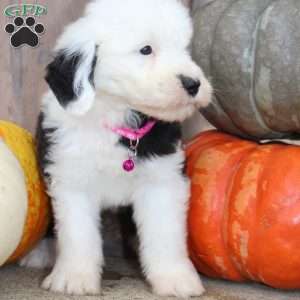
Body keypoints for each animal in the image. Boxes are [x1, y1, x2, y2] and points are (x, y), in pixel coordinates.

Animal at [19, 0, 212, 296]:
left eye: (185, 50)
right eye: (146, 49)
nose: (193, 84)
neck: (116, 116)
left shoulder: (163, 180)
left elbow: (164, 233)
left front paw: (175, 279)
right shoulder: (71, 181)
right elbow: (78, 234)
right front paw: (74, 279)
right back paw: (41, 252)